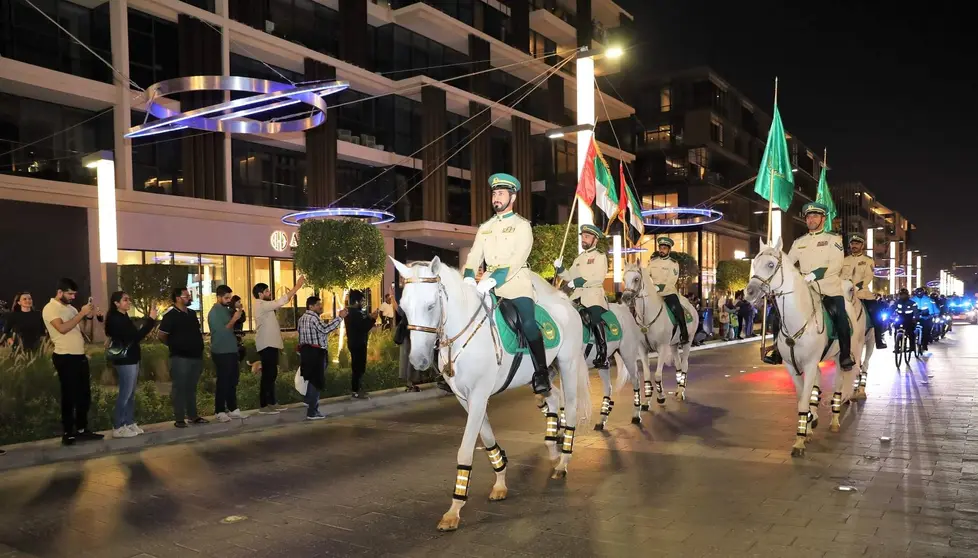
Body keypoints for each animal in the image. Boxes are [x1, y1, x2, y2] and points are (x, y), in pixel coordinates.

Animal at [388, 258, 588, 532]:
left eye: (430, 305)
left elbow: (465, 449)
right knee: (552, 396)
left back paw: (563, 461)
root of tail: (567, 303)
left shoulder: (479, 395)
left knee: (571, 407)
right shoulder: (465, 398)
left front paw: (454, 510)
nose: (419, 361)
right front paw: (500, 480)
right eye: (404, 307)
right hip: (538, 375)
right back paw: (553, 450)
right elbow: (487, 437)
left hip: (568, 364)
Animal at [612, 262, 696, 406]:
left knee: (685, 364)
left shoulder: (662, 348)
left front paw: (661, 396)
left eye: (636, 279)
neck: (647, 316)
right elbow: (646, 375)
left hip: (688, 341)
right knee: (678, 365)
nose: (625, 298)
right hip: (673, 344)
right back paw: (677, 389)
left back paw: (681, 392)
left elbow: (657, 374)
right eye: (623, 279)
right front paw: (647, 400)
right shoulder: (642, 348)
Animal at [744, 238, 864, 458]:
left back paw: (835, 420)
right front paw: (807, 425)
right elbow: (804, 397)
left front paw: (799, 441)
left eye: (771, 265)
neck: (797, 317)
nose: (749, 293)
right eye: (754, 264)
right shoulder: (792, 366)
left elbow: (804, 400)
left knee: (838, 386)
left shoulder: (808, 364)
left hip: (843, 356)